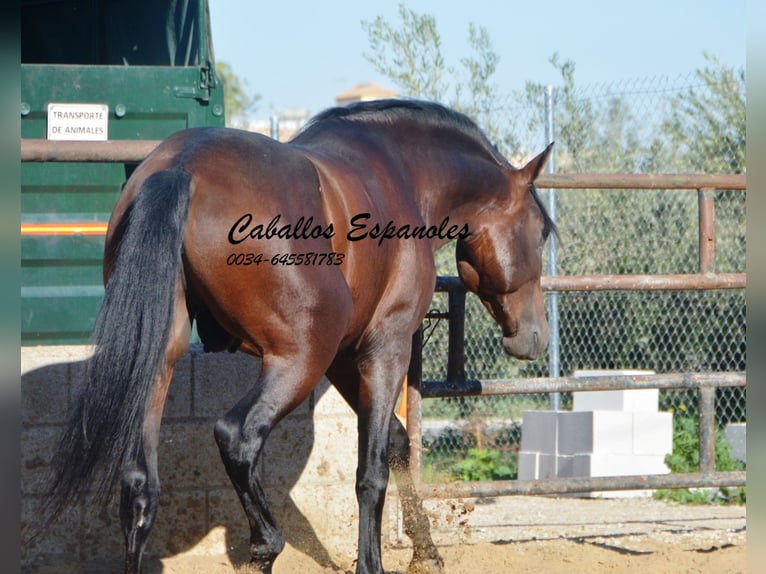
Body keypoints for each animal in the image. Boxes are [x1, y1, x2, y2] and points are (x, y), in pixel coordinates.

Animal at [37, 101, 552, 572]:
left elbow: (397, 443)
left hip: (162, 362)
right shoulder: (385, 346)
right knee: (237, 437)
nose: (537, 337)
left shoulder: (344, 356)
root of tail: (183, 166)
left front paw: (426, 552)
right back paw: (265, 544)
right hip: (298, 360)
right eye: (542, 232)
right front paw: (374, 563)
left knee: (140, 486)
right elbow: (373, 470)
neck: (401, 174)